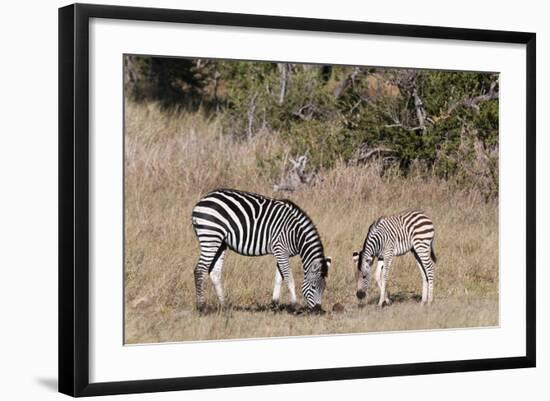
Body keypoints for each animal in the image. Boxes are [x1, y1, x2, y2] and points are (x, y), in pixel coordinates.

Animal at [192, 188, 330, 310]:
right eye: (313, 287)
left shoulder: (281, 253)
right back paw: (202, 307)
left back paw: (224, 306)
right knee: (199, 270)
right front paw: (295, 305)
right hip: (210, 236)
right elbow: (289, 278)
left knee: (214, 273)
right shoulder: (281, 249)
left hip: (220, 243)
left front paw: (274, 304)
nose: (318, 310)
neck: (295, 233)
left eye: (324, 288)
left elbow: (278, 279)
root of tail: (200, 202)